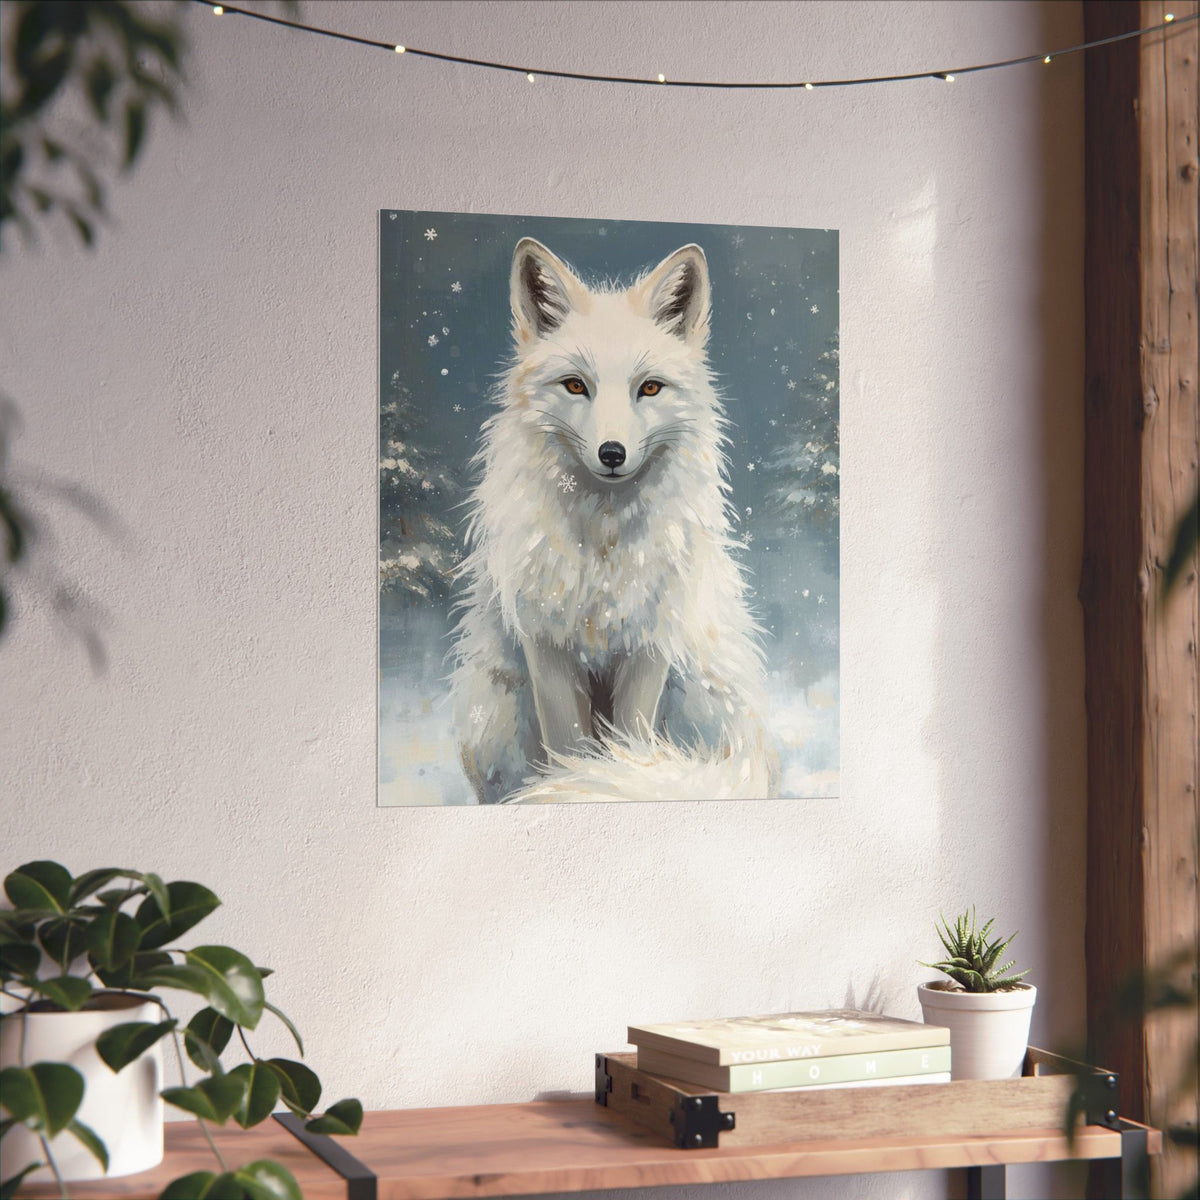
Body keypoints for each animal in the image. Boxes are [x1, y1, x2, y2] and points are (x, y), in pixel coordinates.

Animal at [449, 237, 778, 803]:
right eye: (575, 385)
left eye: (649, 389)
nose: (611, 453)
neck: (602, 551)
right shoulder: (546, 643)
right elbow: (569, 745)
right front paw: (569, 782)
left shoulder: (649, 643)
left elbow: (630, 745)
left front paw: (606, 779)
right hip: (493, 714)